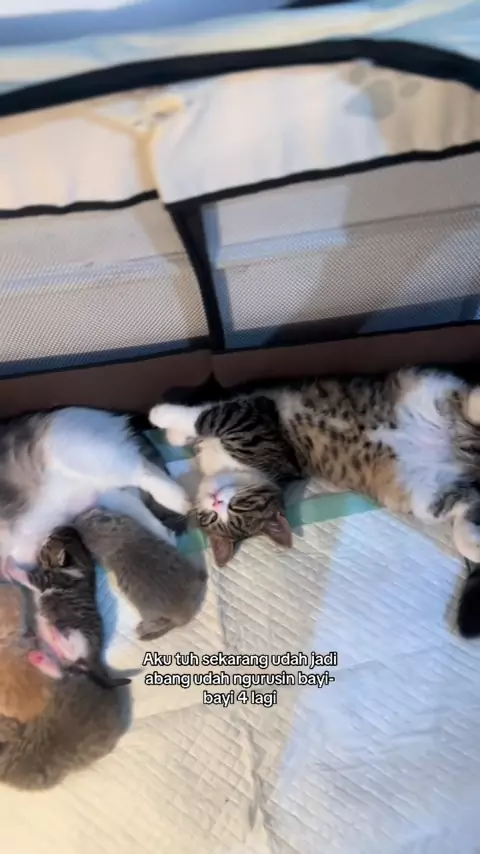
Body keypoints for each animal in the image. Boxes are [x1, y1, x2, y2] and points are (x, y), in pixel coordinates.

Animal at [0, 407, 189, 569]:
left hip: (82, 455)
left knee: (141, 469)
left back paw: (177, 499)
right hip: (108, 493)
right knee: (138, 492)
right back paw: (163, 535)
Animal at [5, 527, 131, 689]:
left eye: (46, 547)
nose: (42, 541)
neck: (78, 560)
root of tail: (95, 659)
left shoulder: (45, 580)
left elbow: (26, 575)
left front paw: (9, 564)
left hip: (80, 635)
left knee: (72, 652)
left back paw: (56, 635)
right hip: (56, 652)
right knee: (62, 671)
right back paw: (39, 658)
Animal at [150, 368, 480, 567]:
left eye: (239, 508)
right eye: (212, 518)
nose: (216, 502)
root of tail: (463, 451)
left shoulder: (250, 416)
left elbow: (205, 415)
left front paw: (162, 416)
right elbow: (202, 420)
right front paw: (178, 435)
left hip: (432, 389)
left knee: (470, 399)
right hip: (426, 495)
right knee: (467, 502)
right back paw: (472, 543)